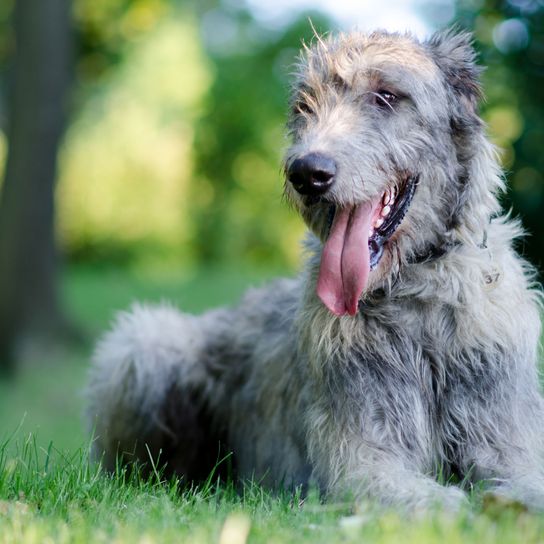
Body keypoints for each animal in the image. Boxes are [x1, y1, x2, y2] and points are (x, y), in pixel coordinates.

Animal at [87, 29, 544, 512]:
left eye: (386, 96)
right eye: (305, 106)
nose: (307, 174)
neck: (416, 292)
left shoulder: (504, 432)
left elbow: (525, 478)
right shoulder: (359, 457)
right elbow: (423, 496)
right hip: (146, 343)